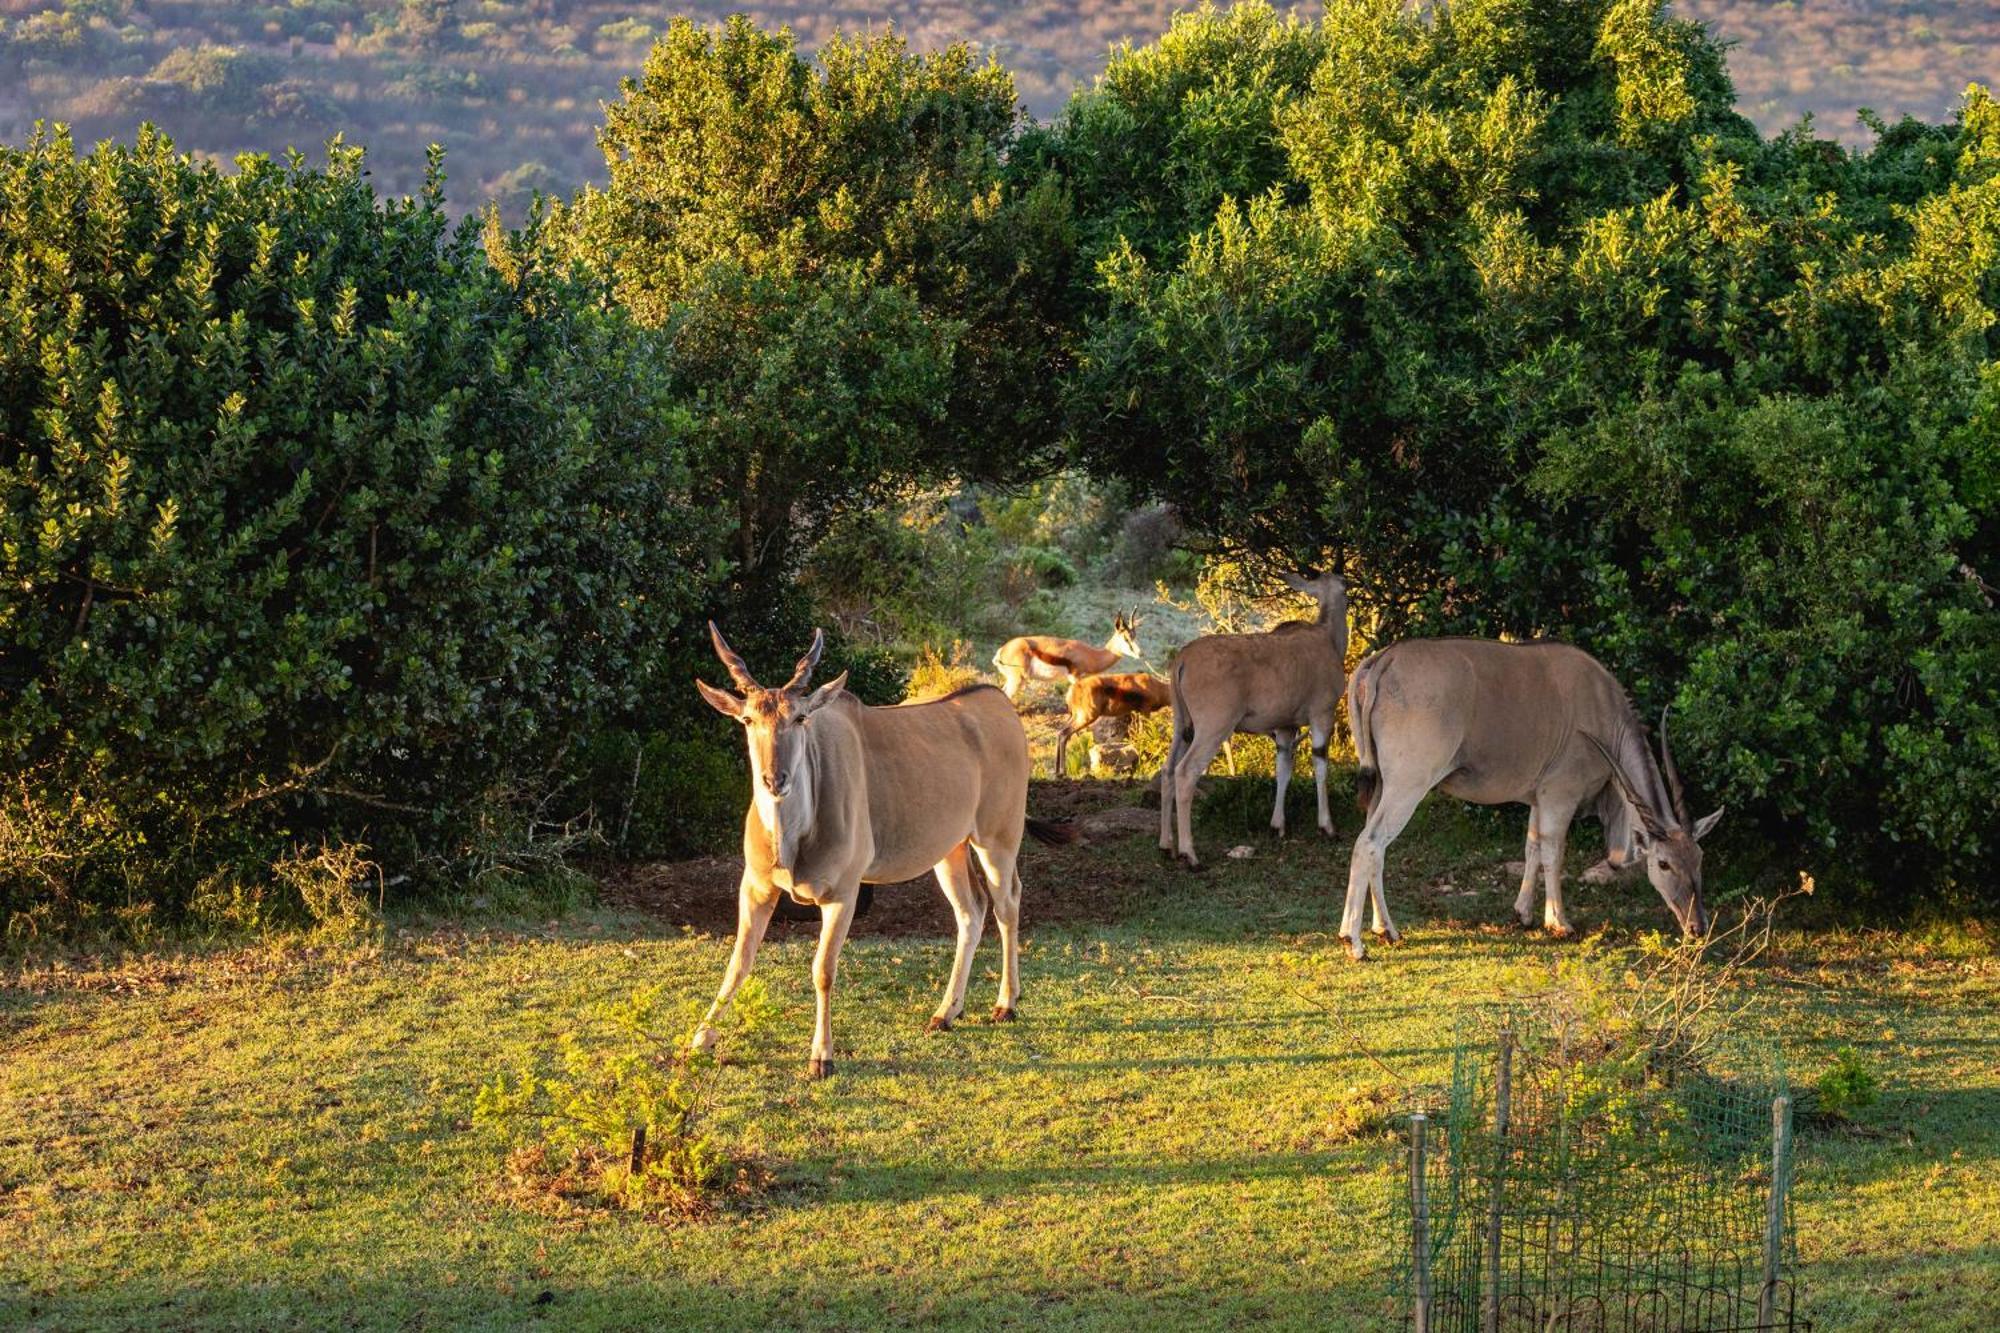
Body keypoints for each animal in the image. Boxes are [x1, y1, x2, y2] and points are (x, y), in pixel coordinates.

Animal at [692, 620, 1072, 1072]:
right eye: (748, 719)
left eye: (800, 717)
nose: (775, 779)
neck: (792, 837)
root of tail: (1001, 703)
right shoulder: (755, 888)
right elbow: (738, 961)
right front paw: (700, 1037)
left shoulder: (843, 894)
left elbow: (823, 970)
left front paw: (822, 1057)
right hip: (950, 850)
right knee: (971, 911)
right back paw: (946, 1012)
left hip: (997, 839)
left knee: (1007, 903)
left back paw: (1006, 1004)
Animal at [996, 608, 1144, 700]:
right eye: (1125, 638)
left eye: (1135, 636)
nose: (1140, 654)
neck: (1092, 655)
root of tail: (1002, 650)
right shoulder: (1075, 677)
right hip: (1017, 680)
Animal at [1152, 568, 1352, 860]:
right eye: (1345, 585)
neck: (1326, 636)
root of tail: (1182, 658)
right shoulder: (1322, 714)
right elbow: (1320, 765)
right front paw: (1327, 827)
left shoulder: (1285, 727)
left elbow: (1283, 769)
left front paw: (1277, 826)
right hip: (1213, 727)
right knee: (1185, 772)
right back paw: (1190, 855)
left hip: (1182, 725)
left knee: (1167, 771)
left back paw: (1167, 845)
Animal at [1336, 640, 1728, 960]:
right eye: (1663, 864)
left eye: (1700, 859)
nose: (1698, 926)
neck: (1602, 709)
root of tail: (1382, 661)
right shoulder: (1560, 794)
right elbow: (1554, 852)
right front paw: (1559, 923)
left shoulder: (1539, 798)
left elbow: (1533, 847)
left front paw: (1523, 914)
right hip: (1408, 784)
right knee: (1369, 843)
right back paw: (1354, 942)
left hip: (1382, 784)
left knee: (1375, 848)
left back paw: (1386, 930)